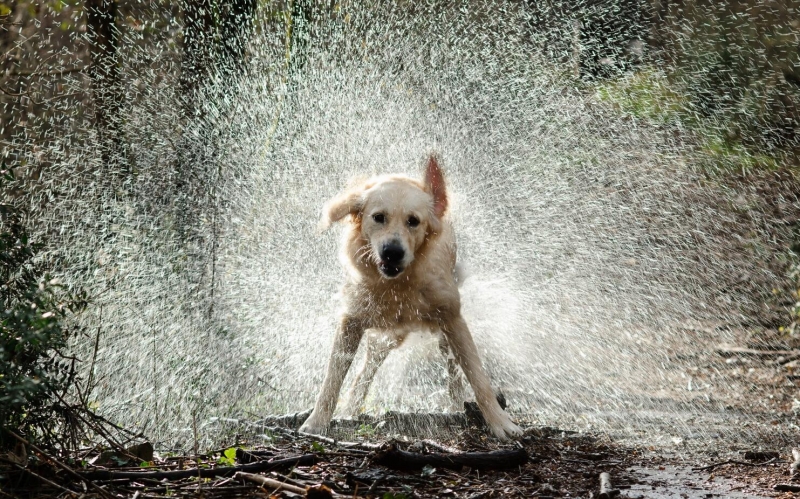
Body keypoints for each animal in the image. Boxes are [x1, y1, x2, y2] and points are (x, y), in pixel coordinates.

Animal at [296, 154, 520, 440]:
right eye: (378, 217)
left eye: (413, 221)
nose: (392, 252)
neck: (398, 285)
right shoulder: (351, 320)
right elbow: (332, 379)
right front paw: (316, 422)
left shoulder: (453, 319)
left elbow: (478, 378)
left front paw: (501, 423)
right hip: (385, 337)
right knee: (364, 372)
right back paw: (351, 408)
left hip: (440, 334)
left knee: (453, 370)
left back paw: (456, 406)